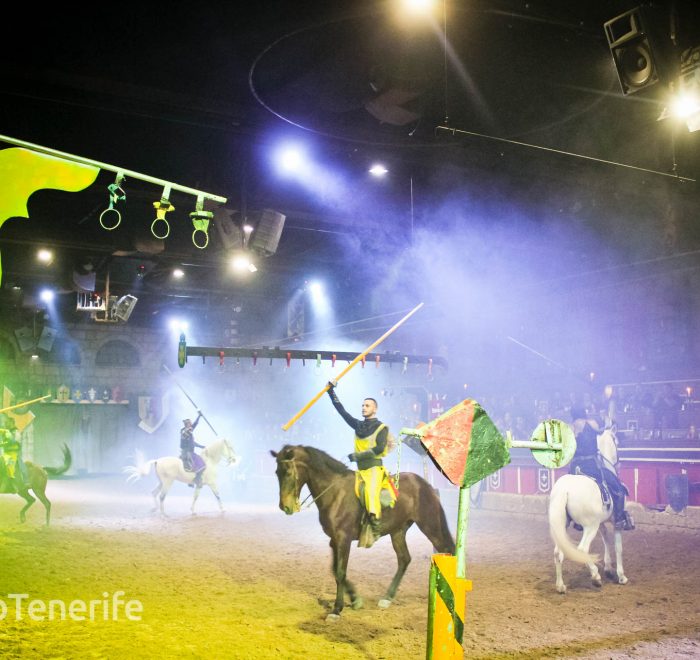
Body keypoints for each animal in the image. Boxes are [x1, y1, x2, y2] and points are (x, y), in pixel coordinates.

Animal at [270, 444, 456, 620]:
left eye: (288, 472)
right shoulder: (334, 541)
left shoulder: (343, 539)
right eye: (277, 472)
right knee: (404, 559)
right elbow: (334, 570)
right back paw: (387, 598)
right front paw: (354, 599)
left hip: (430, 527)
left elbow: (340, 572)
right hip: (398, 531)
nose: (284, 507)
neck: (335, 492)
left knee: (447, 550)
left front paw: (337, 610)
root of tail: (425, 485)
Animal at [548, 428, 628, 592]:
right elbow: (618, 547)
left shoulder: (601, 523)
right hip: (590, 527)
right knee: (583, 549)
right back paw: (595, 577)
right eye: (616, 441)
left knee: (558, 552)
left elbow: (605, 538)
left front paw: (608, 569)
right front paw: (621, 576)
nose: (619, 463)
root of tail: (565, 490)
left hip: (562, 526)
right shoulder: (615, 522)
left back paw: (560, 585)